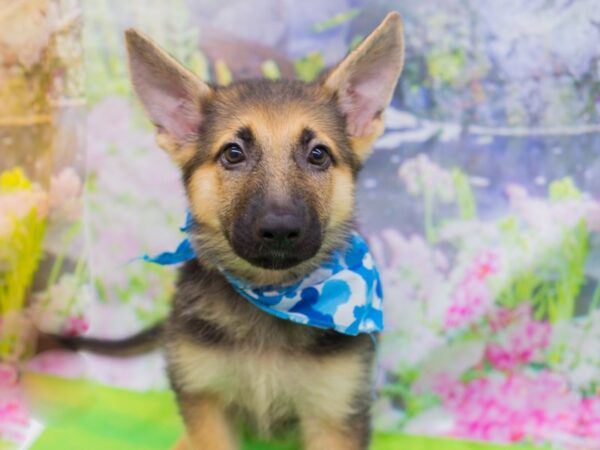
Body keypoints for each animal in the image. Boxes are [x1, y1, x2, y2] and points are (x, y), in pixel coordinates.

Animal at [58, 12, 404, 450]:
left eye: (318, 155)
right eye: (233, 154)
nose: (280, 230)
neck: (273, 297)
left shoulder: (334, 413)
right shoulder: (206, 399)